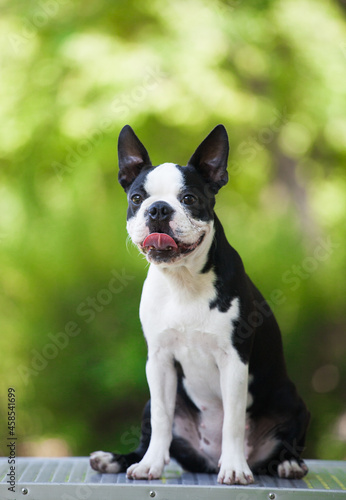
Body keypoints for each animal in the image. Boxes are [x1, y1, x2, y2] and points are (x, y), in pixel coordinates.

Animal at [90, 124, 310, 484]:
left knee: (283, 442)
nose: (158, 209)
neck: (183, 282)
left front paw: (234, 468)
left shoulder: (234, 362)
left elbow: (233, 420)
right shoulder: (159, 361)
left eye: (189, 199)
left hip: (290, 400)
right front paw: (150, 464)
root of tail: (207, 459)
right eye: (137, 198)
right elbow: (162, 420)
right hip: (155, 404)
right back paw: (117, 459)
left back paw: (287, 464)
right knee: (155, 430)